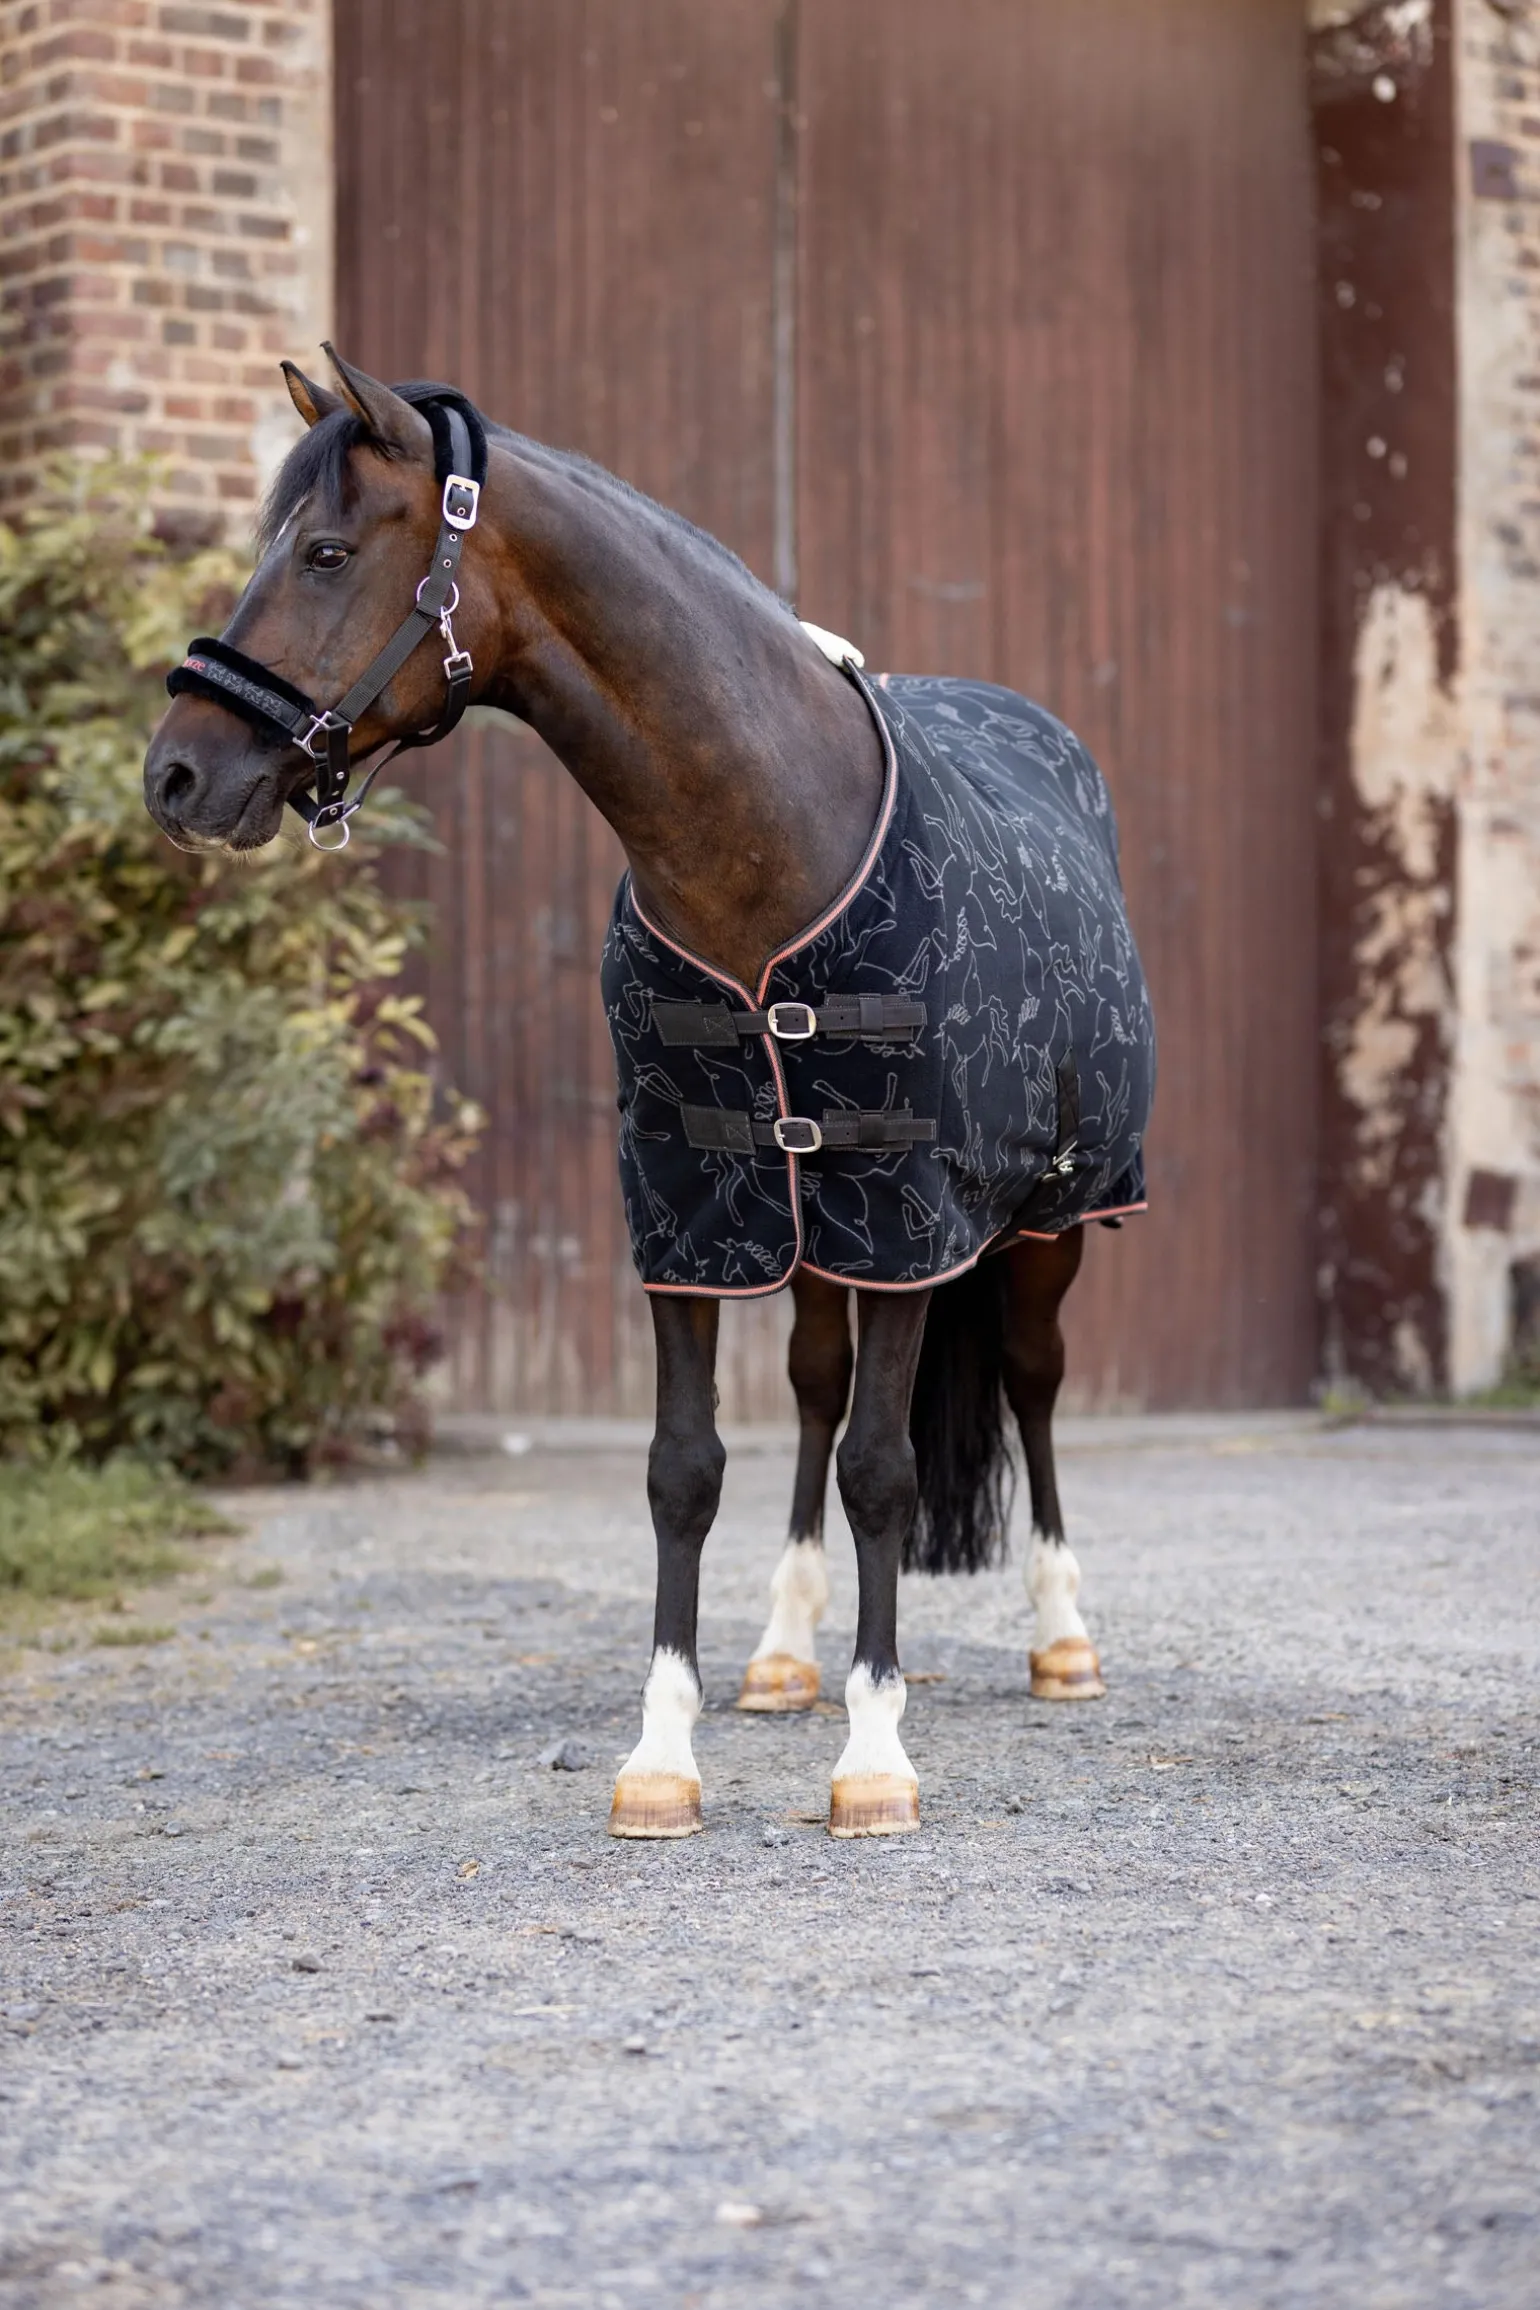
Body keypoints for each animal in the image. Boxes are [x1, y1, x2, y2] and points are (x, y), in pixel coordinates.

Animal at [144, 347, 1156, 1841]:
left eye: (325, 551)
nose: (177, 773)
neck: (767, 845)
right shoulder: (691, 1211)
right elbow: (687, 1469)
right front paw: (664, 1756)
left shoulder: (908, 1216)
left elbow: (885, 1470)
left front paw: (874, 1758)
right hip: (803, 1231)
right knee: (812, 1389)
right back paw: (785, 1654)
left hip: (1045, 1218)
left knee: (1028, 1381)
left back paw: (1061, 1637)